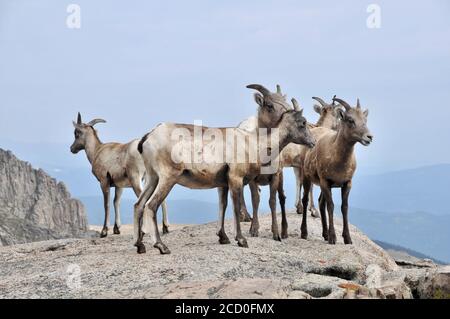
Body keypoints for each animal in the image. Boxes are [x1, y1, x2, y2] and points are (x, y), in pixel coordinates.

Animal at [134, 84, 316, 255]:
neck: (254, 143)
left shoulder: (223, 184)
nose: (313, 142)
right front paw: (241, 240)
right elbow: (236, 207)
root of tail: (149, 137)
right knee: (151, 206)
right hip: (167, 178)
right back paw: (161, 246)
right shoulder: (236, 179)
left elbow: (223, 205)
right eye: (302, 123)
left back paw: (140, 246)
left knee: (139, 205)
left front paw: (223, 238)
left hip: (153, 178)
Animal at [298, 99, 372, 246]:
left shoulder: (347, 183)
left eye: (365, 119)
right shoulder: (326, 182)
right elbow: (331, 206)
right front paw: (333, 238)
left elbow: (344, 207)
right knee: (306, 200)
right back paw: (304, 233)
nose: (369, 137)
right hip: (307, 177)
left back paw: (325, 234)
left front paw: (347, 239)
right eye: (350, 120)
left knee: (321, 203)